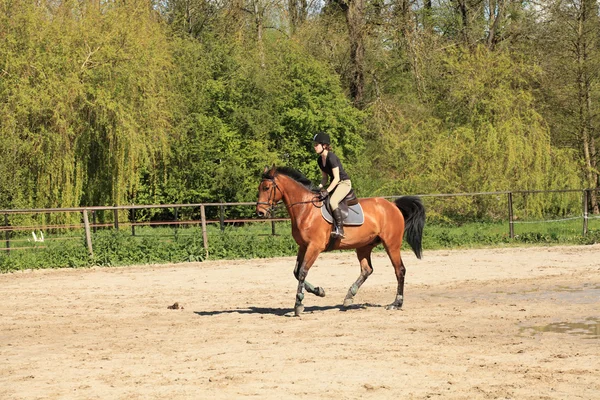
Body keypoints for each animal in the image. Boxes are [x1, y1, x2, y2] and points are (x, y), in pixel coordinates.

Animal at [255, 166, 424, 316]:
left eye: (267, 187)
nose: (260, 213)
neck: (305, 209)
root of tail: (393, 206)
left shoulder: (314, 247)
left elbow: (302, 271)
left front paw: (298, 304)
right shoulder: (303, 246)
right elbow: (297, 272)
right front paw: (319, 291)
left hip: (391, 244)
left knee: (399, 270)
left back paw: (396, 303)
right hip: (364, 246)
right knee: (367, 269)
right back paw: (349, 296)